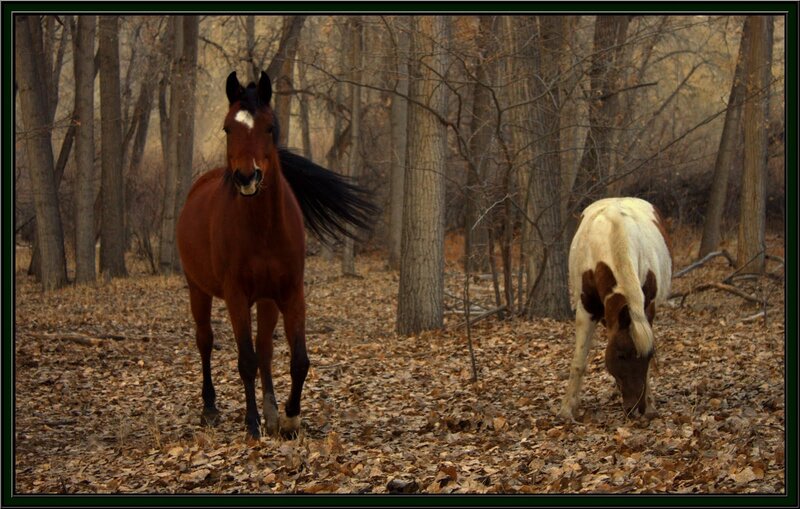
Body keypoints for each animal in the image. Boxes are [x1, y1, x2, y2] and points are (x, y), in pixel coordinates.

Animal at [176, 71, 377, 439]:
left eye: (269, 127)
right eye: (228, 128)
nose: (246, 177)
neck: (263, 230)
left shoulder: (291, 293)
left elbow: (297, 359)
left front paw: (289, 417)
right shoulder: (236, 297)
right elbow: (246, 360)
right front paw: (252, 423)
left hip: (267, 300)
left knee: (266, 349)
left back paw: (270, 412)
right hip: (198, 290)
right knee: (205, 341)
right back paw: (210, 407)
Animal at [558, 197, 672, 421]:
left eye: (649, 357)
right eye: (621, 355)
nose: (637, 409)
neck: (613, 236)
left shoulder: (648, 308)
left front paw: (650, 405)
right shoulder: (586, 309)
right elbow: (579, 361)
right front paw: (567, 409)